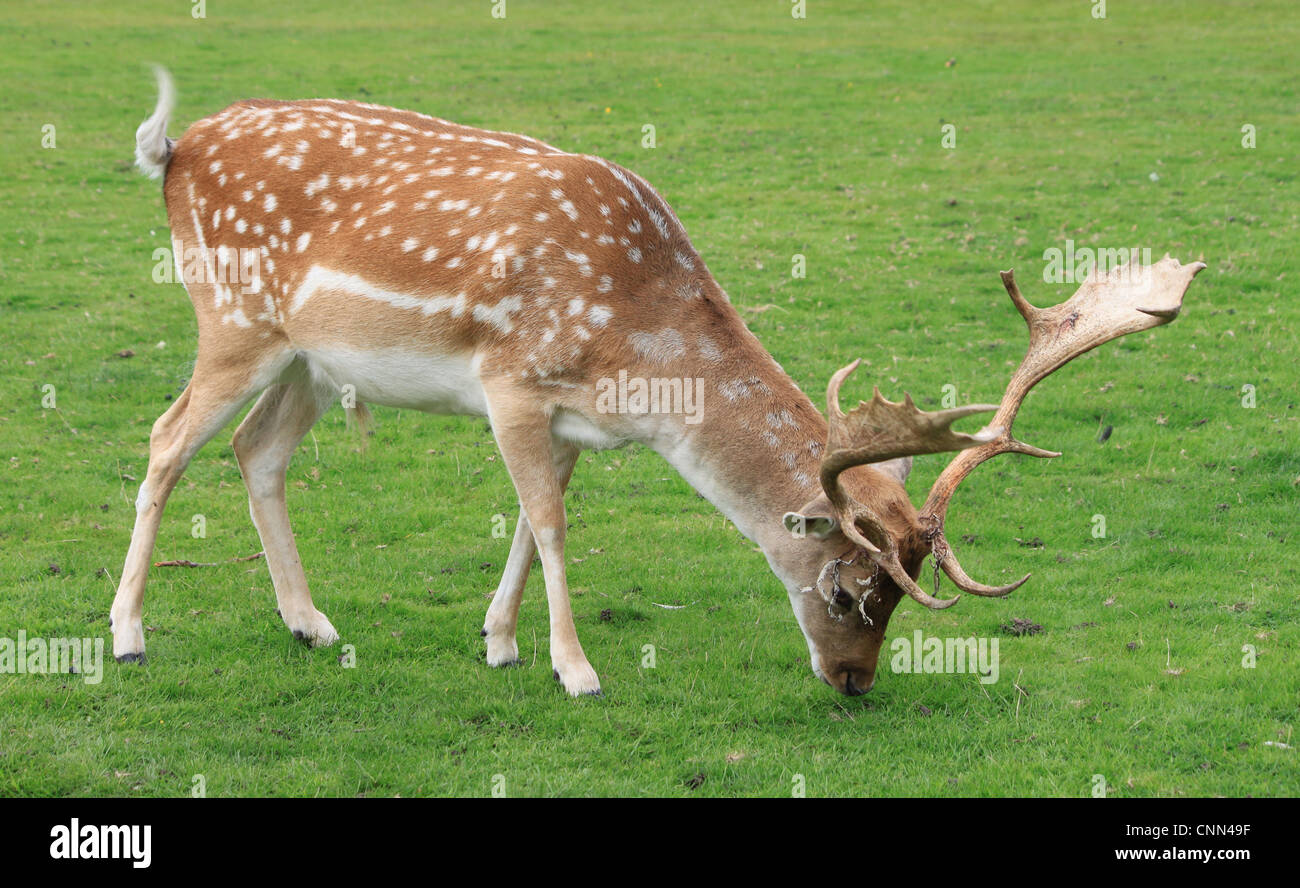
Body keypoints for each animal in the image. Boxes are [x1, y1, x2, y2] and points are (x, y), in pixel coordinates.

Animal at [116, 67, 1201, 696]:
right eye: (849, 590)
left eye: (901, 596)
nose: (854, 684)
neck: (639, 363)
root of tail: (175, 150)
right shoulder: (512, 382)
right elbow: (551, 525)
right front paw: (575, 669)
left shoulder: (567, 421)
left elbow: (530, 519)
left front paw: (499, 642)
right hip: (232, 320)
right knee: (166, 440)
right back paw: (127, 635)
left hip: (307, 359)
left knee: (257, 451)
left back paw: (308, 624)